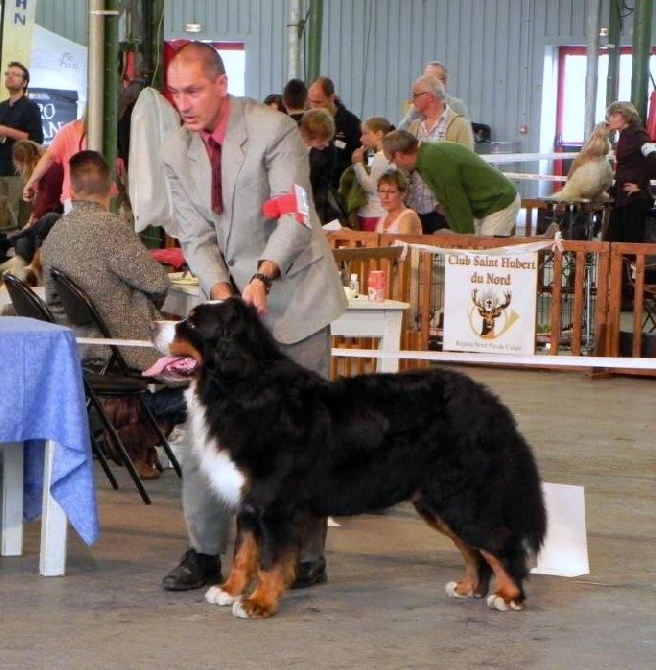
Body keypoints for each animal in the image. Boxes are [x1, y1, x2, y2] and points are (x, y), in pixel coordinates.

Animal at [151, 300, 544, 620]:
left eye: (193, 323)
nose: (153, 325)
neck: (242, 390)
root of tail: (490, 404)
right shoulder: (248, 502)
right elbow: (244, 554)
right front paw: (230, 590)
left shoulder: (274, 503)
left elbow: (270, 561)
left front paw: (258, 603)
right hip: (437, 501)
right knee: (474, 549)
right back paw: (468, 587)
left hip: (460, 497)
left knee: (499, 542)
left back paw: (509, 596)